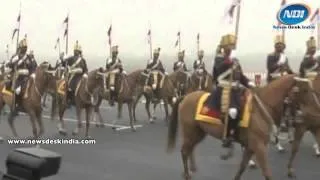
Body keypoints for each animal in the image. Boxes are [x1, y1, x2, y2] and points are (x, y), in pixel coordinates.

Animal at [168, 74, 298, 180]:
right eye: (301, 91)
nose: (298, 117)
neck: (261, 107)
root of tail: (186, 96)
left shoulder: (251, 147)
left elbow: (242, 166)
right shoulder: (259, 146)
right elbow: (267, 173)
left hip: (198, 133)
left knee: (190, 149)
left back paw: (192, 168)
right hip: (190, 133)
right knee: (185, 151)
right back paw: (187, 174)